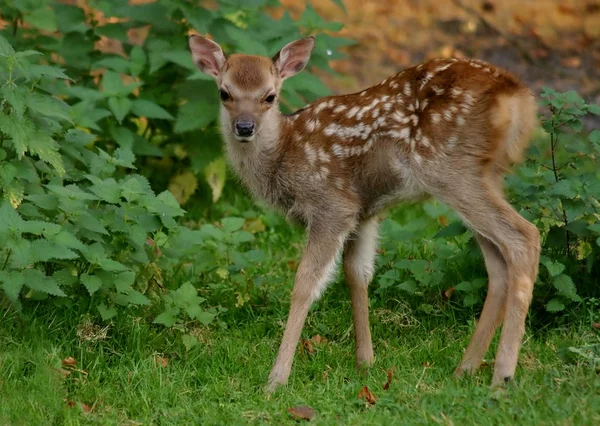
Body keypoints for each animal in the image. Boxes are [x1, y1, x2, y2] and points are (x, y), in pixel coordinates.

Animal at [188, 32, 540, 392]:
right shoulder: (365, 212)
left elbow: (304, 285)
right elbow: (357, 274)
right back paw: (464, 369)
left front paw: (276, 379)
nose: (244, 127)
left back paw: (502, 375)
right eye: (225, 93)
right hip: (484, 176)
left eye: (269, 96)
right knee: (498, 262)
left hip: (450, 169)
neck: (285, 155)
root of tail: (516, 97)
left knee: (524, 236)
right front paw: (365, 363)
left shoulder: (332, 204)